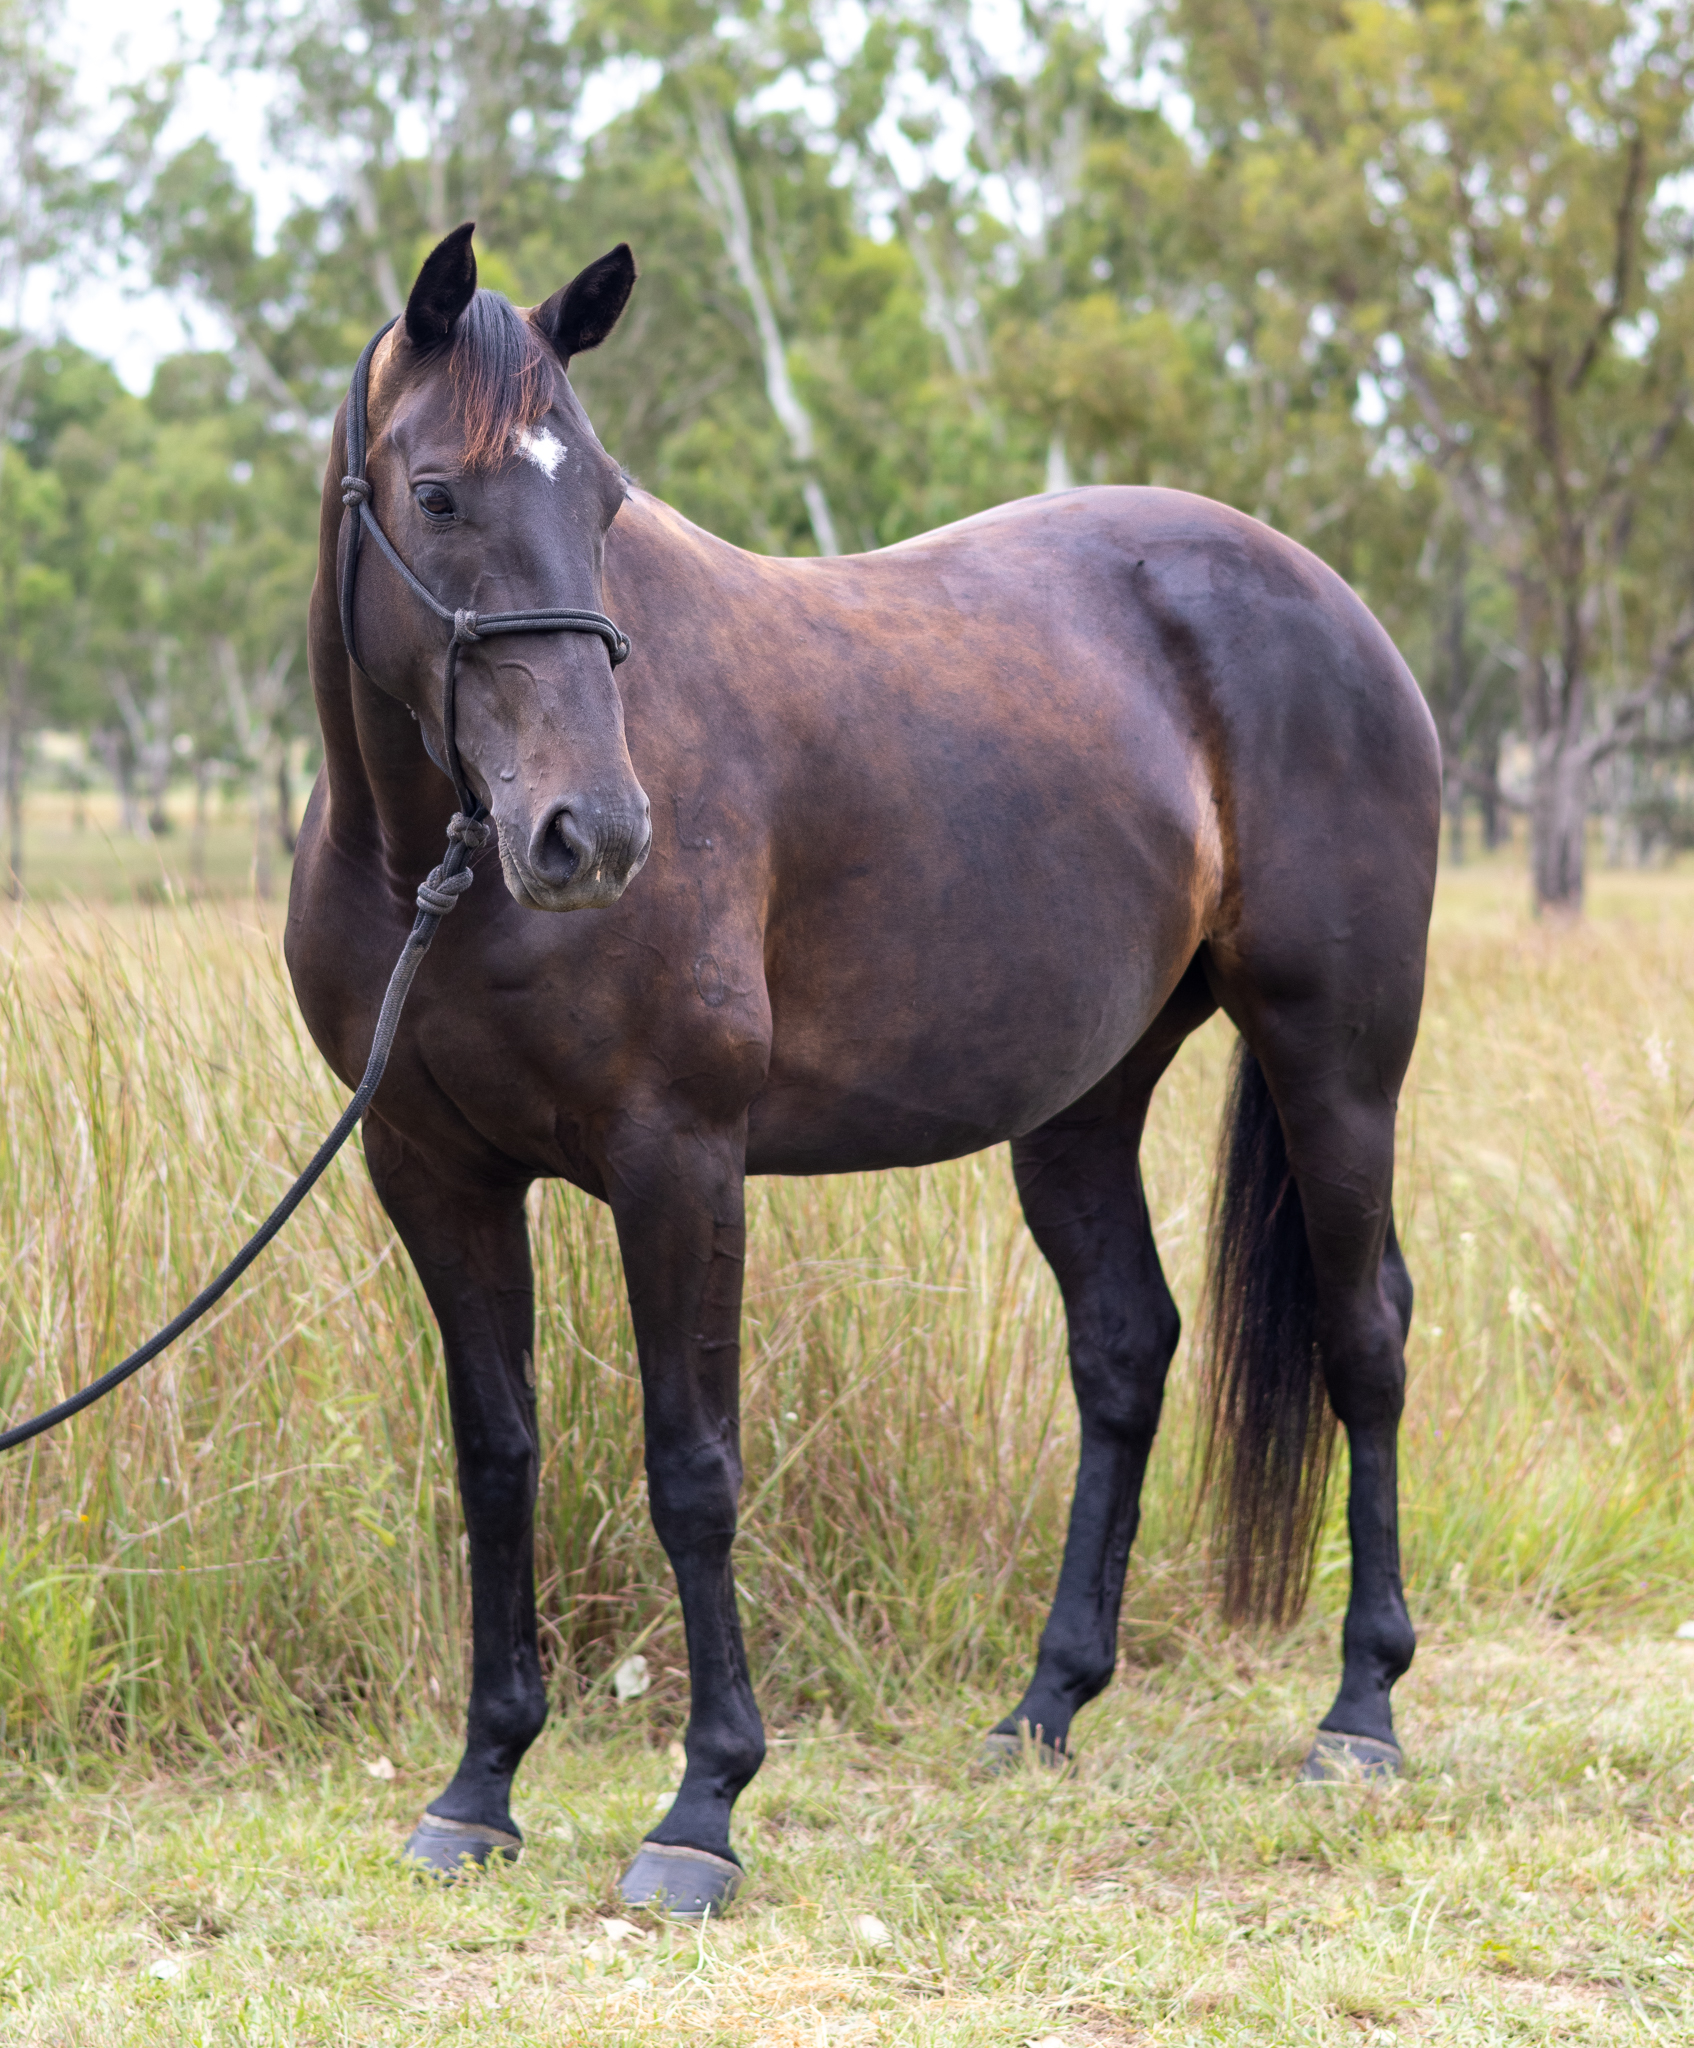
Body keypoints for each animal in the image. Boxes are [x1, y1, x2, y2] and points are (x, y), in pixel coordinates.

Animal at [286, 223, 1441, 1918]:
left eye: (605, 503)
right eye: (436, 494)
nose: (593, 836)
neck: (435, 871)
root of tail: (1333, 607)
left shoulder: (677, 1161)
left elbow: (692, 1469)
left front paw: (701, 1810)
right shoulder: (430, 1170)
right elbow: (497, 1460)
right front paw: (479, 1788)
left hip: (1335, 1062)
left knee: (1366, 1338)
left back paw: (1358, 1713)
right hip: (1079, 1107)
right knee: (1125, 1348)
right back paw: (1042, 1709)